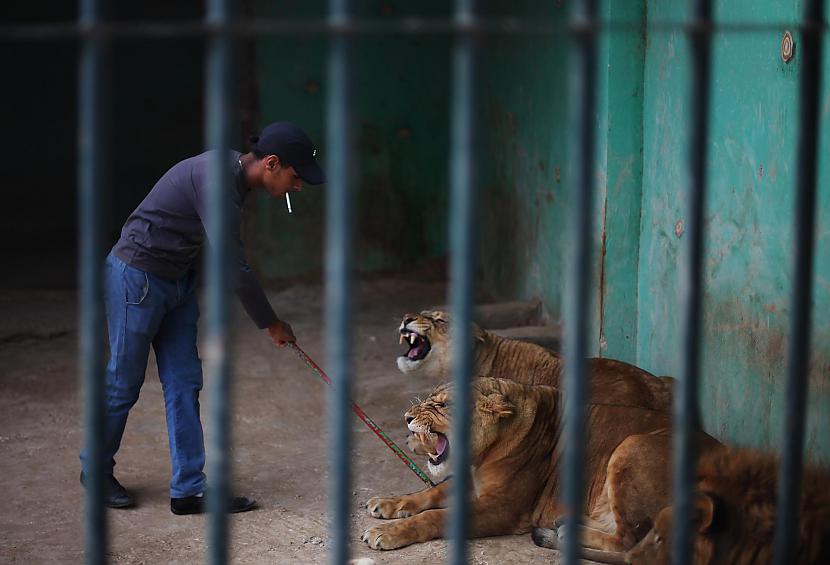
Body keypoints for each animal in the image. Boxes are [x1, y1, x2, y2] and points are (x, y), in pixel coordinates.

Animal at [362, 374, 720, 552]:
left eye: (443, 405)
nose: (406, 418)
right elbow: (431, 493)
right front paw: (389, 503)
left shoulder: (503, 509)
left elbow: (435, 516)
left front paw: (386, 532)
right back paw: (564, 525)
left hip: (632, 445)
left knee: (628, 541)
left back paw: (568, 533)